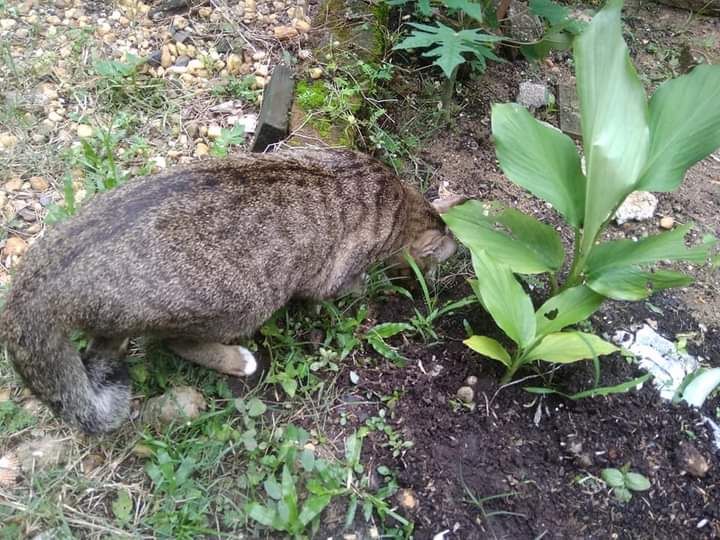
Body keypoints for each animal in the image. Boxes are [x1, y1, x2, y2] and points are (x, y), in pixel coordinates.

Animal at [0, 148, 462, 434]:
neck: (396, 200)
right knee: (174, 342)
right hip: (244, 304)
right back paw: (237, 360)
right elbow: (340, 287)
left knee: (102, 348)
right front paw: (365, 285)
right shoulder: (332, 273)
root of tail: (42, 282)